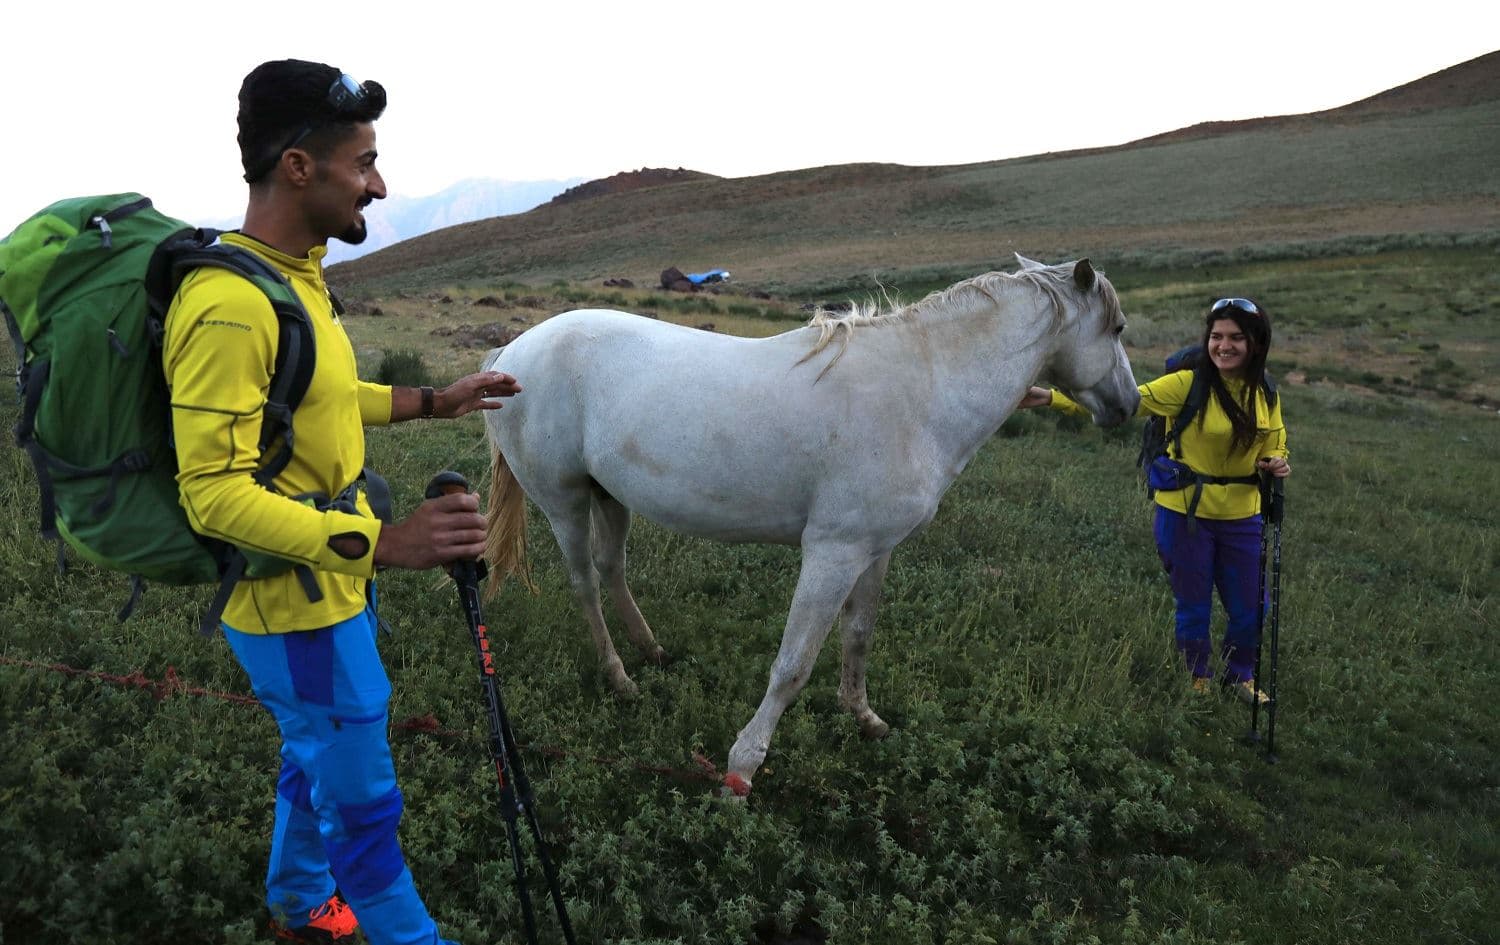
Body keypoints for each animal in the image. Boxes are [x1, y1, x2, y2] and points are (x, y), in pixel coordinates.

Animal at [478, 255, 1139, 795]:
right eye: (1117, 329)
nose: (1129, 406)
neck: (919, 392)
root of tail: (508, 355)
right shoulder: (833, 553)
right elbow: (793, 665)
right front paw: (742, 768)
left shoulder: (875, 550)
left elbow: (858, 635)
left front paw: (864, 717)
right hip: (565, 501)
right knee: (585, 582)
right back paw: (619, 678)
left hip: (609, 495)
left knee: (612, 570)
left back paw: (652, 651)